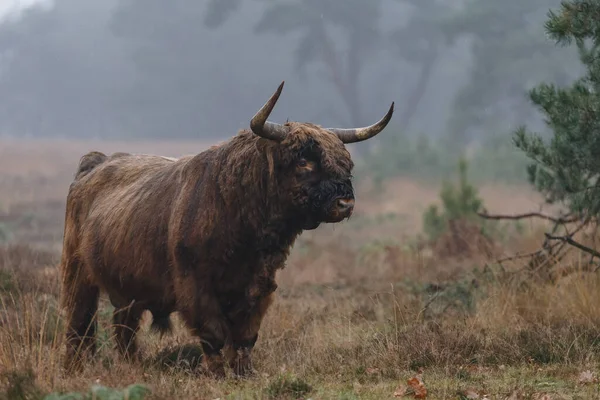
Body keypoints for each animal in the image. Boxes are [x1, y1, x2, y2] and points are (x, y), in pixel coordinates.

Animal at [61, 82, 394, 378]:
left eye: (345, 162)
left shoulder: (259, 285)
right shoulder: (195, 286)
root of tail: (96, 161)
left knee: (124, 328)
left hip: (125, 287)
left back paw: (132, 367)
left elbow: (245, 336)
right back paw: (74, 369)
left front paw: (245, 374)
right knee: (79, 323)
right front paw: (219, 375)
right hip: (77, 273)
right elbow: (214, 334)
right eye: (303, 161)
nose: (345, 202)